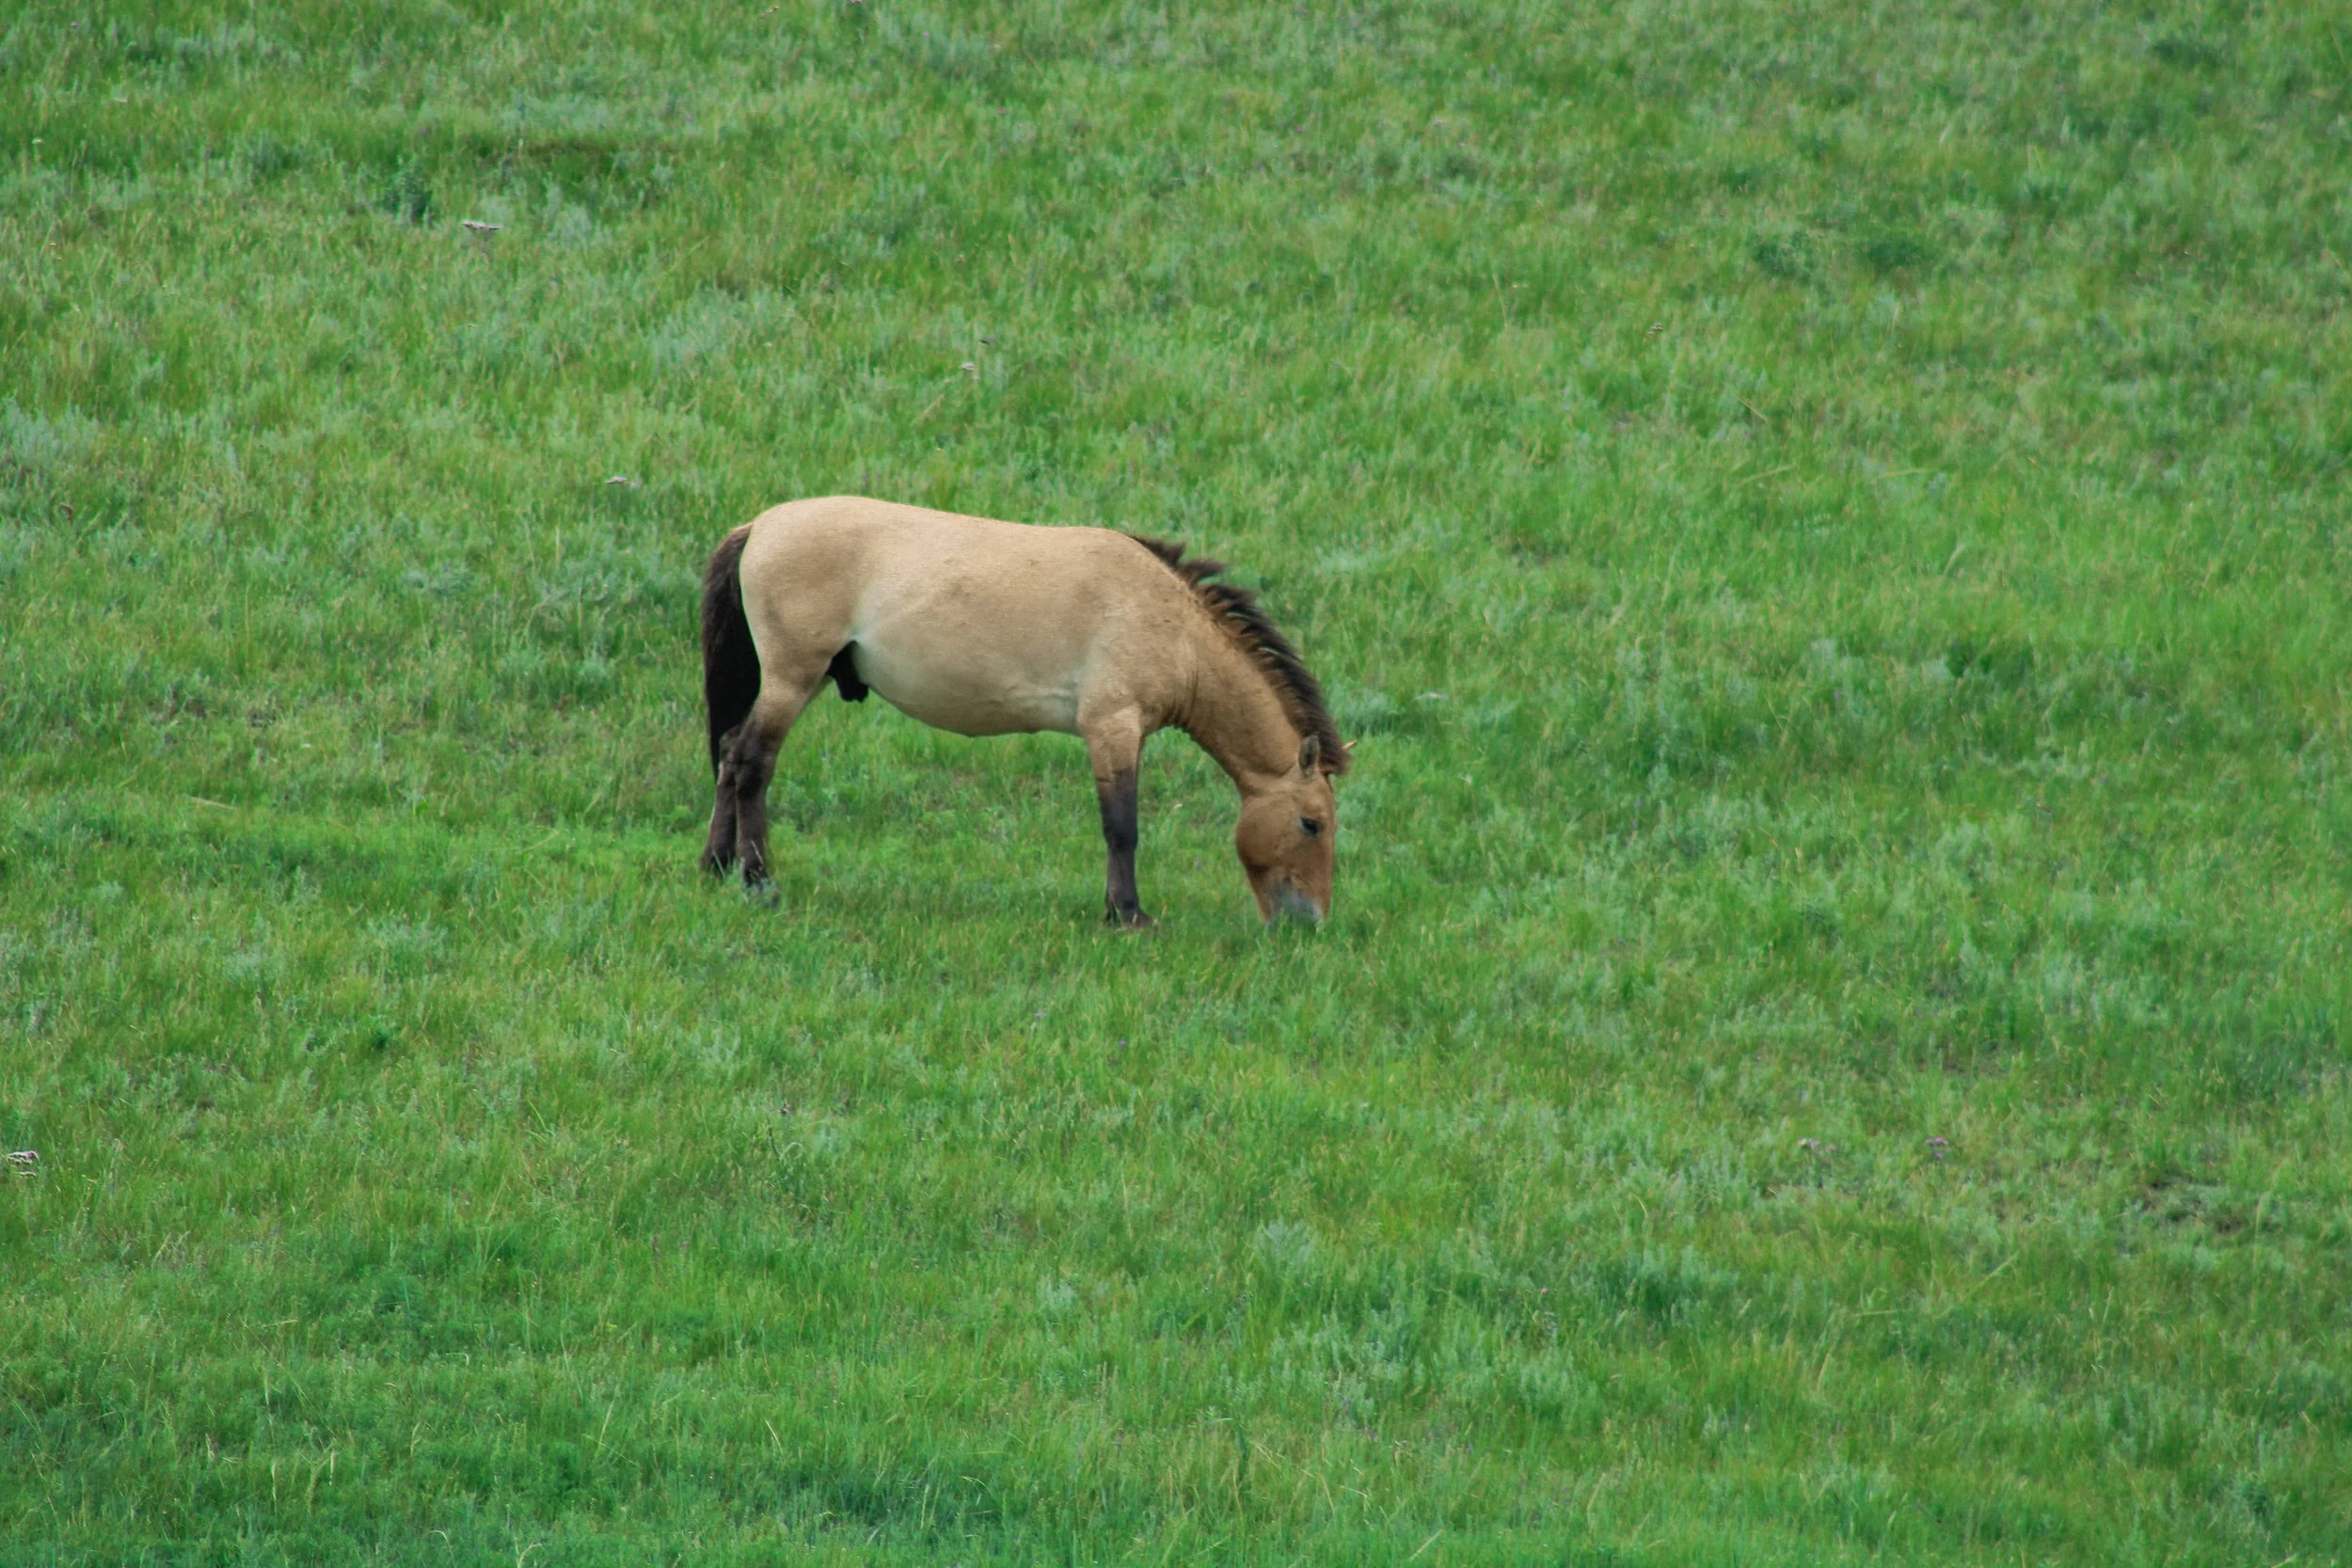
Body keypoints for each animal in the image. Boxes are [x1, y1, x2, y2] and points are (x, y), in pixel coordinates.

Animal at [698, 496, 1350, 926]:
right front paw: (1127, 914)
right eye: (1311, 823)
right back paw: (758, 882)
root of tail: (759, 527)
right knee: (752, 763)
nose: (1309, 921)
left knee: (730, 754)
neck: (1173, 625)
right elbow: (1122, 827)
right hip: (792, 679)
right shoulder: (1112, 727)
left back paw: (716, 867)